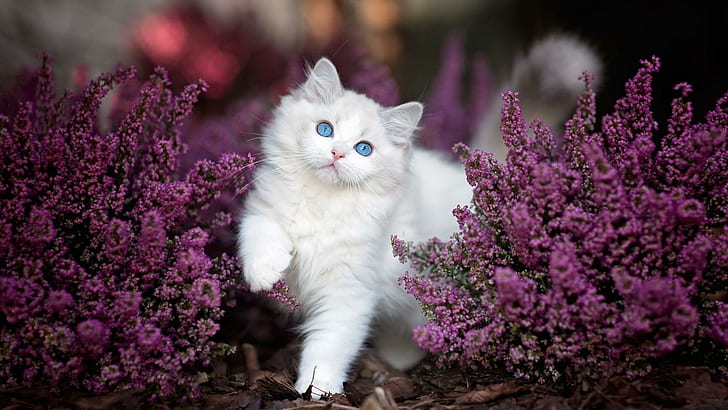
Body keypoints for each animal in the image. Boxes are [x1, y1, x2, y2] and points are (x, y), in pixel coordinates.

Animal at [239, 57, 472, 398]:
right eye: (325, 130)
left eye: (364, 149)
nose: (337, 153)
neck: (323, 202)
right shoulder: (262, 211)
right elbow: (259, 235)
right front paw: (264, 275)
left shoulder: (348, 292)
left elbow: (327, 346)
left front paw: (317, 391)